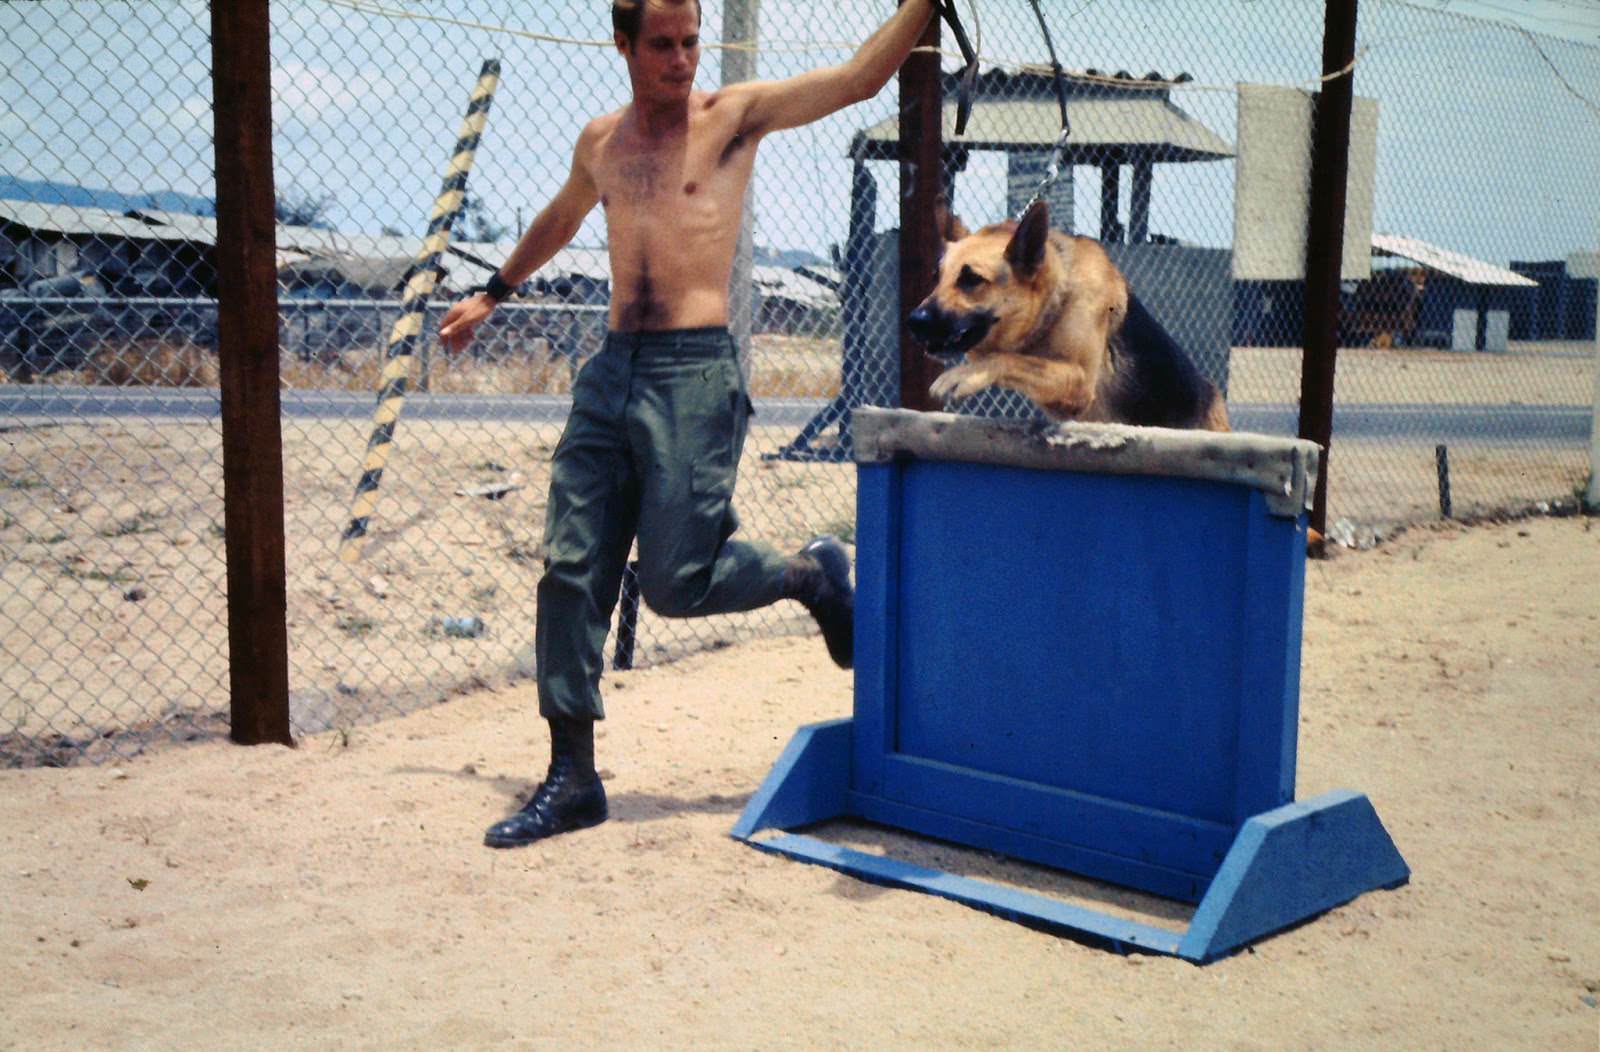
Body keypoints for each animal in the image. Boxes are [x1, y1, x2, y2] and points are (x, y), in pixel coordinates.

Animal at [908, 199, 1228, 428]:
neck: (1056, 303)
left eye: (972, 279)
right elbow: (1017, 360)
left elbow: (1009, 359)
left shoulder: (1080, 386)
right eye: (937, 277)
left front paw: (961, 375)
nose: (914, 322)